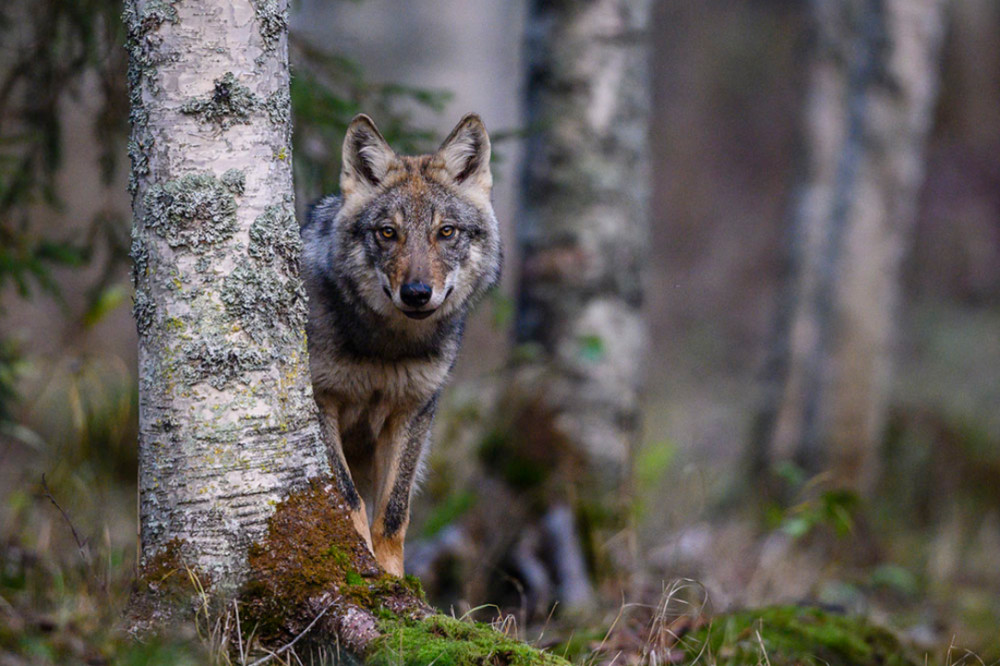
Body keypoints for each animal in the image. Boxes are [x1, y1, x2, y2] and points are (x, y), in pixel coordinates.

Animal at [296, 111, 500, 572]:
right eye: (388, 233)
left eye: (446, 232)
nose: (417, 293)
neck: (384, 348)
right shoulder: (322, 401)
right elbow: (348, 500)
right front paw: (358, 563)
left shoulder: (413, 411)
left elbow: (393, 515)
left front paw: (391, 576)